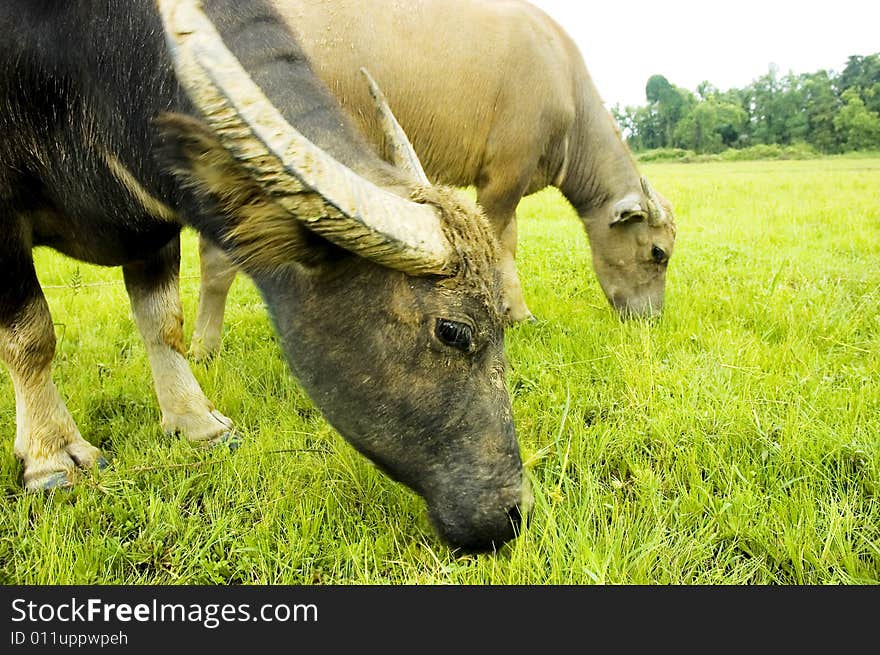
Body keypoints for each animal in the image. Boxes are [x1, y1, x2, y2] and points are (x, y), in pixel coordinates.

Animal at [0, 0, 528, 552]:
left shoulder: (155, 224)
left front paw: (196, 422)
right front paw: (52, 456)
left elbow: (163, 323)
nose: (515, 512)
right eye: (452, 331)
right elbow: (31, 337)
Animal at [189, 0, 676, 358]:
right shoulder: (506, 174)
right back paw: (203, 349)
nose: (650, 319)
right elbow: (500, 243)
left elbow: (511, 242)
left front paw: (518, 312)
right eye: (658, 253)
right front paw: (507, 311)